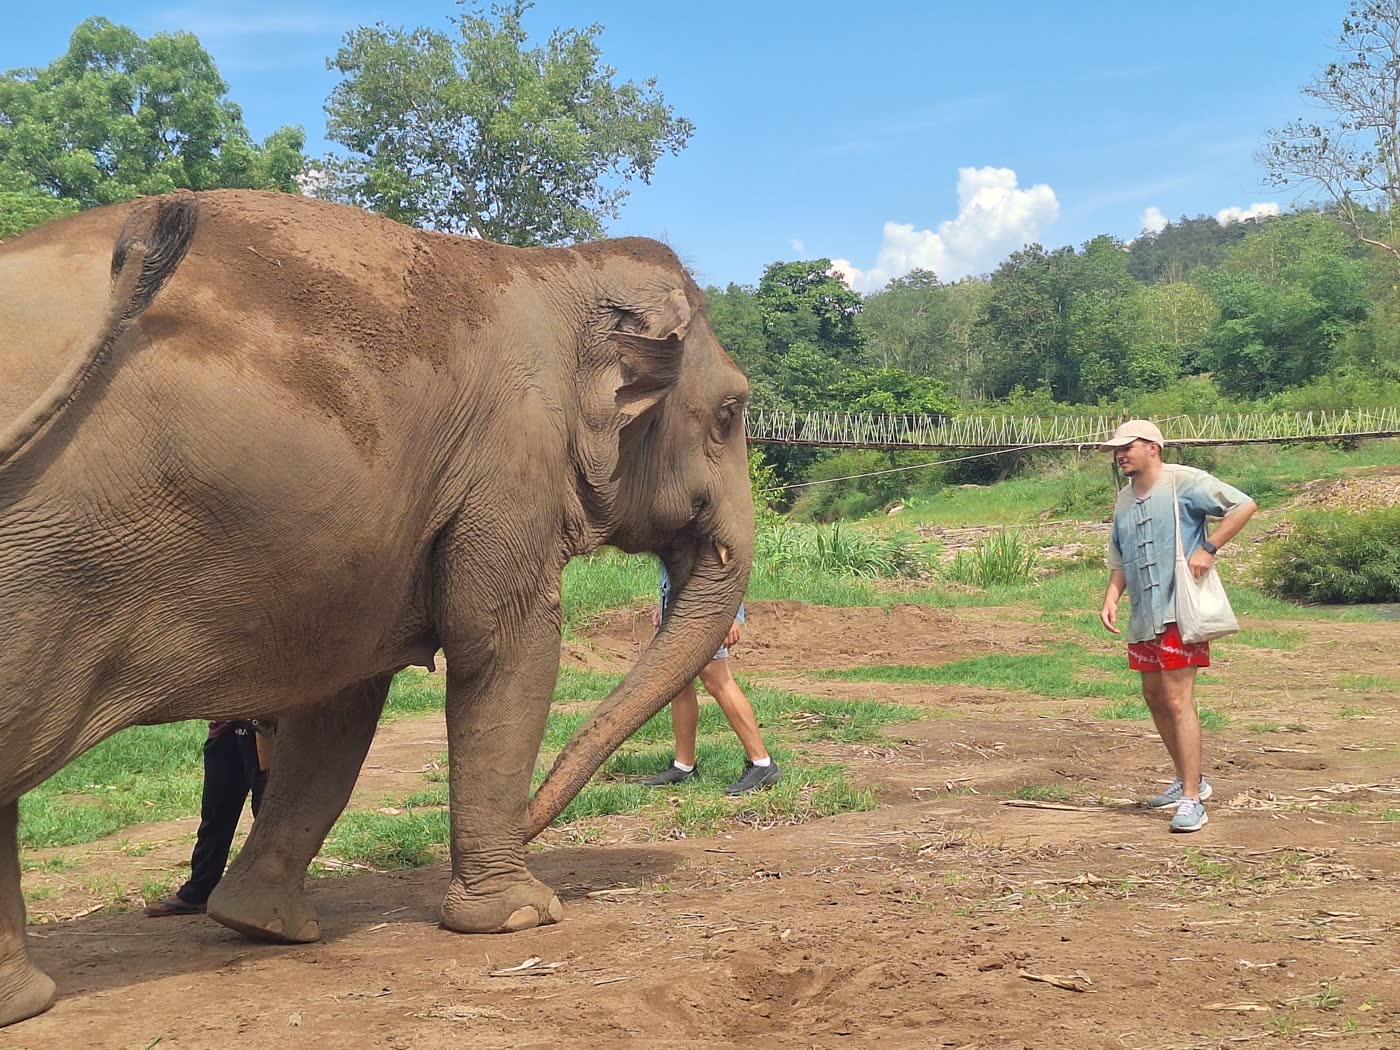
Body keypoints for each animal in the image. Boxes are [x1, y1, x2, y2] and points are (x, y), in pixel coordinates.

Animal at [0, 189, 755, 1027]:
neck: (556, 268)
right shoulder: (508, 463)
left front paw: (262, 926)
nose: (533, 824)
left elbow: (340, 703)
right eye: (730, 412)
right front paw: (521, 916)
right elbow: (505, 648)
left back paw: (25, 999)